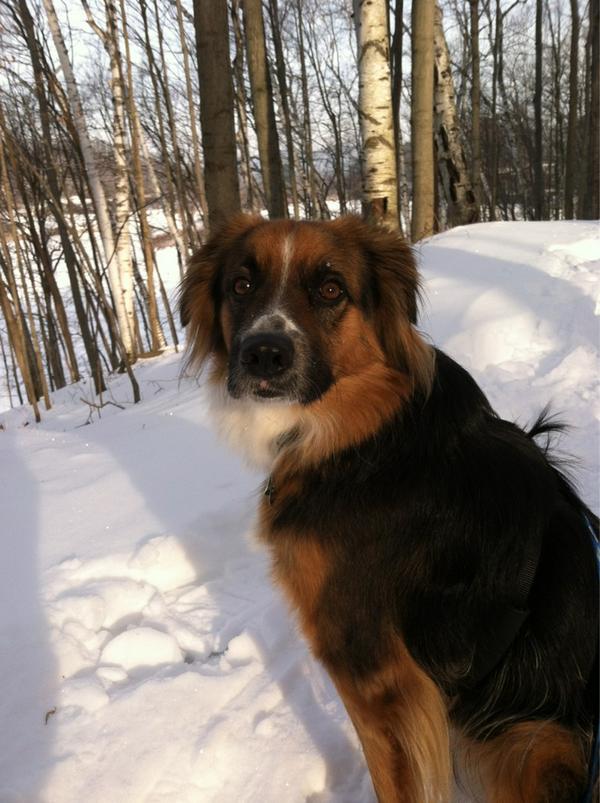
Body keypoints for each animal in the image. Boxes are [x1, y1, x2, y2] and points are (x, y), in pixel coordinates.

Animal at [180, 215, 596, 803]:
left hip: (535, 741)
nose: (263, 354)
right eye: (241, 285)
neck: (366, 438)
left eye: (331, 289)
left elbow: (394, 782)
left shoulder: (376, 676)